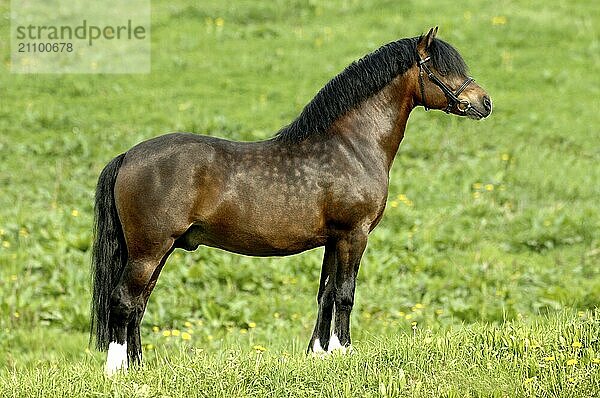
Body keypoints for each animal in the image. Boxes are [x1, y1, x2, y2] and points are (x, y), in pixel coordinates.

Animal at [91, 27, 490, 374]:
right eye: (443, 68)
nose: (484, 102)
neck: (350, 146)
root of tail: (128, 156)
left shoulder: (334, 240)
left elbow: (326, 294)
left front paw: (320, 354)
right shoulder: (354, 235)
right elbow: (345, 293)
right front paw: (345, 351)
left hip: (158, 251)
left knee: (139, 304)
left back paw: (138, 367)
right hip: (148, 250)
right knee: (123, 301)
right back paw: (116, 370)